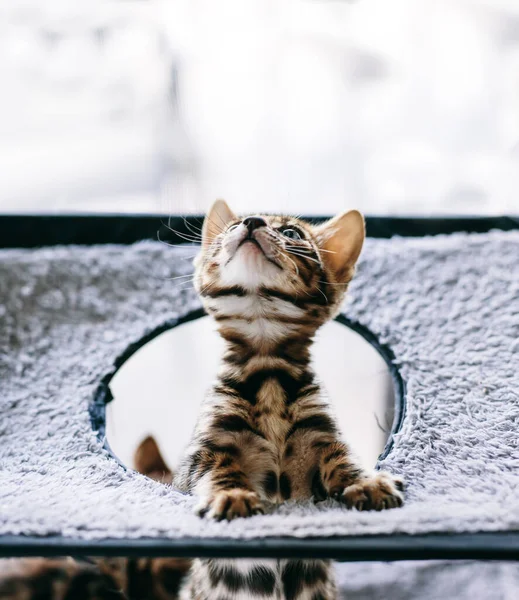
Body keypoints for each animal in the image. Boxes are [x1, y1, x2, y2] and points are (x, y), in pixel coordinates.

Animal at [175, 202, 406, 600]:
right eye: (232, 226)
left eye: (291, 233)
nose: (250, 223)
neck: (268, 373)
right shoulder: (204, 451)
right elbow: (221, 468)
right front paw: (231, 494)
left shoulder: (323, 437)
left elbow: (346, 461)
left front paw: (368, 482)